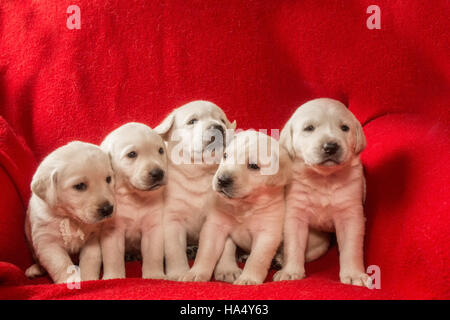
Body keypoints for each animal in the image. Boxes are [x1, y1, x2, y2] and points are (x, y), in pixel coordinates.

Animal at [25, 141, 115, 284]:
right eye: (80, 186)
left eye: (108, 179)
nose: (108, 209)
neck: (70, 217)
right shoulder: (47, 242)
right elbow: (61, 264)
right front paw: (71, 281)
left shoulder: (93, 237)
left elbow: (90, 259)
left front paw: (88, 279)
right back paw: (35, 269)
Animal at [99, 124, 168, 278]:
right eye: (132, 154)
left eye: (160, 150)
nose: (158, 173)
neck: (135, 197)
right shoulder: (113, 229)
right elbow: (113, 257)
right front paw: (114, 276)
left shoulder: (152, 227)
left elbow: (153, 253)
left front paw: (154, 275)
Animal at [156, 100, 236, 280]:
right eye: (192, 121)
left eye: (222, 120)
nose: (218, 127)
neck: (199, 172)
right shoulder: (173, 219)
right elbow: (174, 250)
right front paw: (178, 273)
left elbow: (225, 248)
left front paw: (227, 270)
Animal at [180, 130, 290, 284]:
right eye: (225, 156)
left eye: (253, 166)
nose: (222, 180)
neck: (243, 206)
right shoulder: (216, 227)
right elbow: (207, 251)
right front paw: (196, 273)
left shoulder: (267, 233)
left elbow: (257, 259)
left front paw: (248, 278)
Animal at [274, 98, 370, 288]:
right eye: (309, 128)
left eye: (344, 128)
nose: (330, 147)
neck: (324, 179)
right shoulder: (295, 213)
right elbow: (293, 245)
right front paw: (290, 272)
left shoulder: (351, 215)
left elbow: (351, 247)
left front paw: (354, 275)